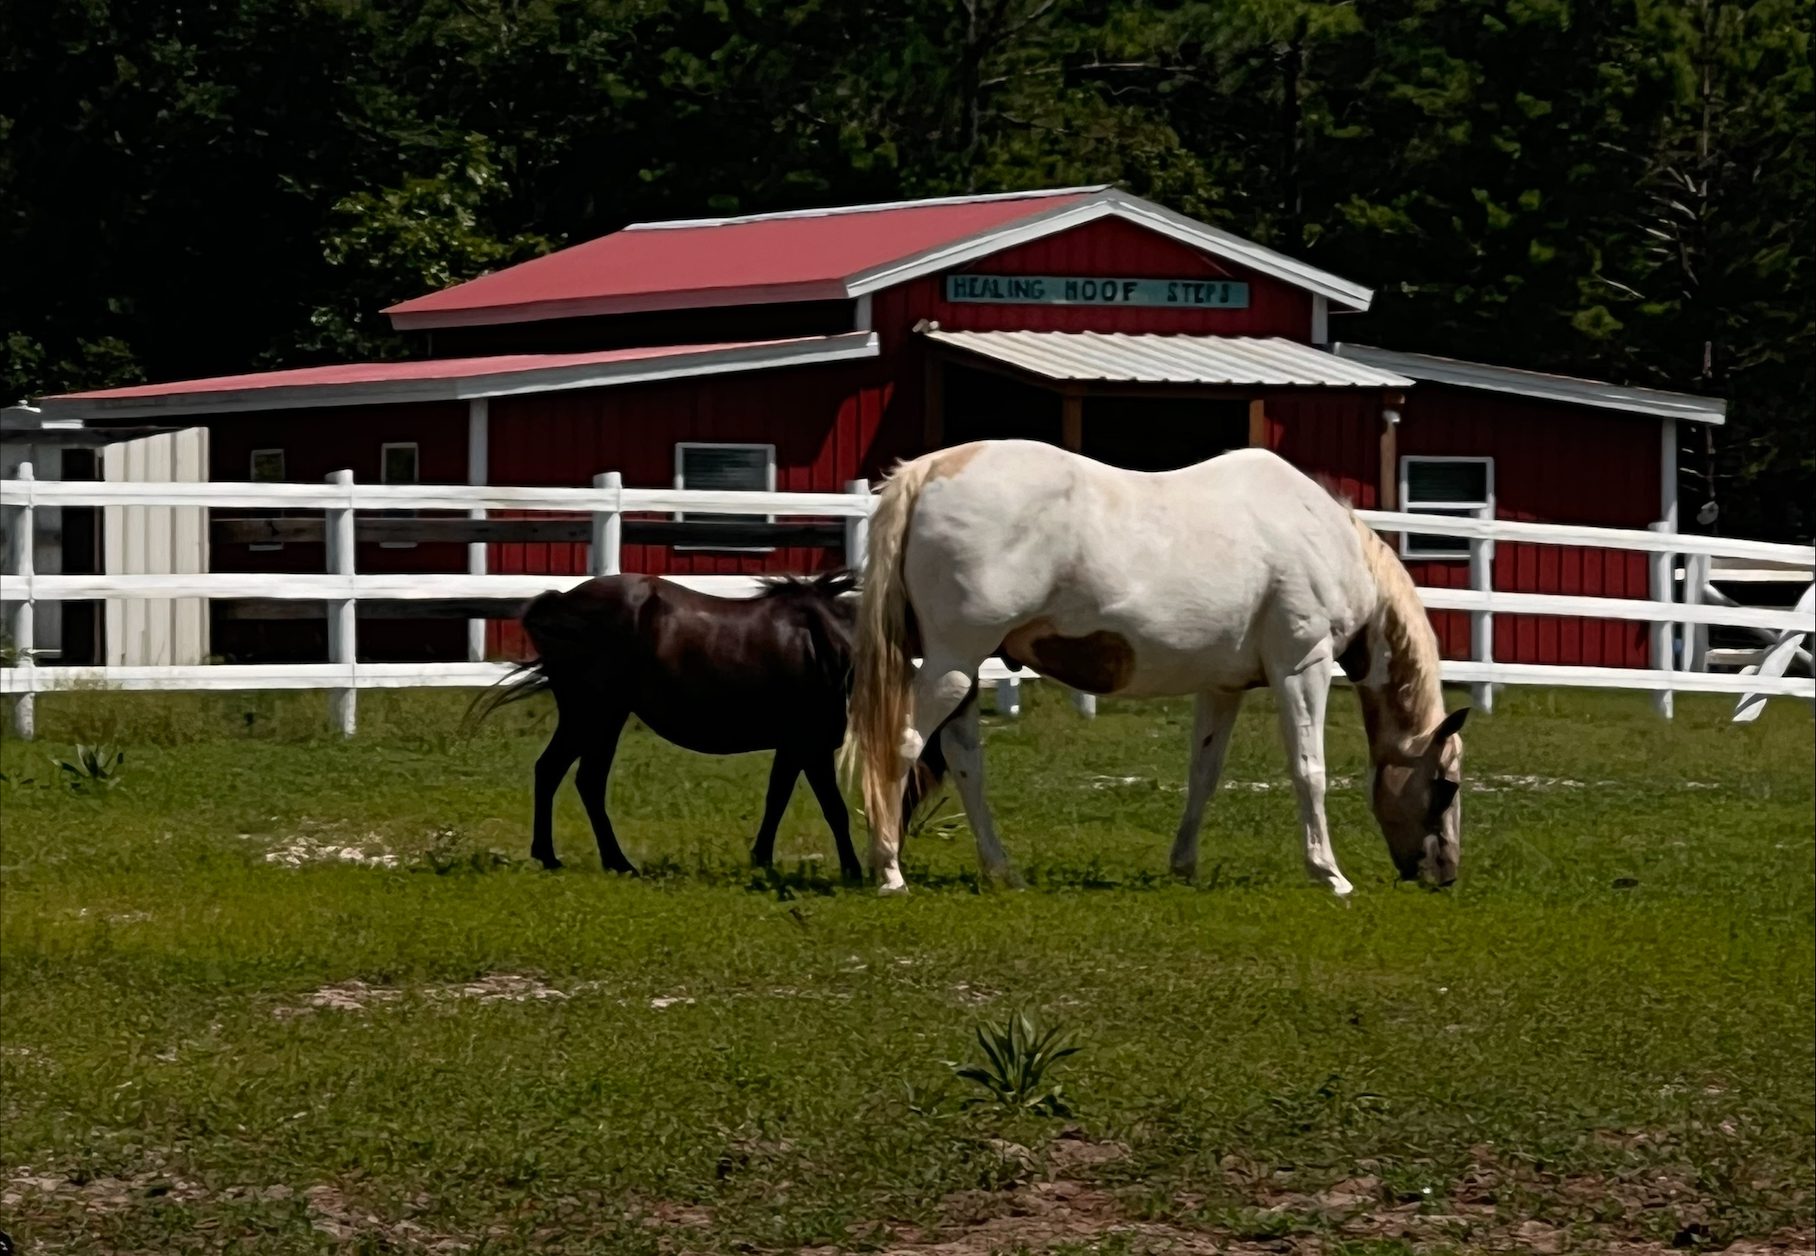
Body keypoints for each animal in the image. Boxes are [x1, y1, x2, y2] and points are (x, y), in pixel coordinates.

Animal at [475, 573, 958, 878]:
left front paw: (761, 857)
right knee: (571, 777)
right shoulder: (812, 744)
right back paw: (594, 860)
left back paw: (578, 858)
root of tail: (558, 602)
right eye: (915, 778)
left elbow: (776, 799)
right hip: (594, 714)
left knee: (566, 775)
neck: (836, 649)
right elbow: (833, 809)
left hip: (598, 717)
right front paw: (852, 869)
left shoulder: (793, 746)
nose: (895, 844)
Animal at [842, 439, 1467, 892]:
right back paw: (889, 870)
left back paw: (1001, 870)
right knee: (901, 743)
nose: (1445, 873)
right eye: (1446, 786)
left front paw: (1184, 865)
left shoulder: (1224, 687)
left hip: (965, 670)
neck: (1323, 537)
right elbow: (1309, 770)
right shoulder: (1302, 666)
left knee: (965, 761)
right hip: (953, 662)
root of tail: (929, 470)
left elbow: (1204, 773)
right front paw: (1329, 874)